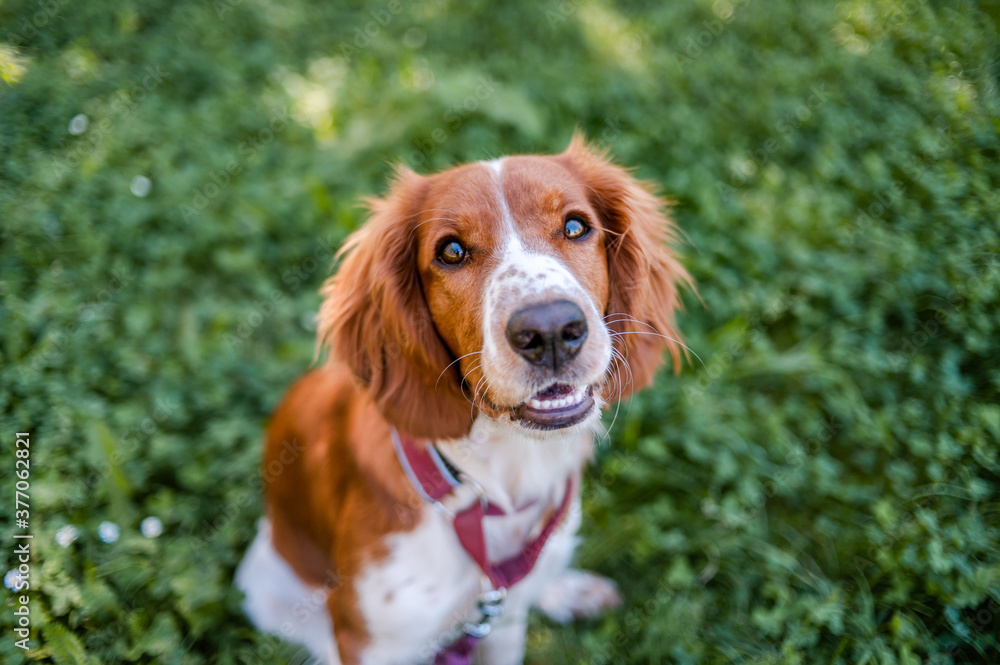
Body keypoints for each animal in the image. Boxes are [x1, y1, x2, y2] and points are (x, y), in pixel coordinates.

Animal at [234, 136, 688, 664]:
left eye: (576, 226)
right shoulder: (369, 639)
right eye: (451, 251)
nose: (551, 330)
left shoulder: (503, 622)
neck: (489, 490)